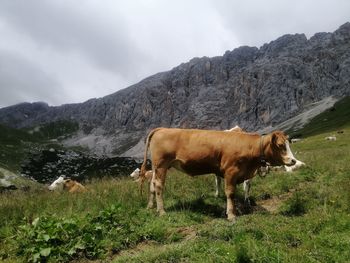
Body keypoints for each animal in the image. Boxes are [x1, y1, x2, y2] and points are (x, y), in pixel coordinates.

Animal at [141, 128, 296, 223]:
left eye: (288, 144)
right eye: (281, 145)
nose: (293, 160)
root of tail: (162, 128)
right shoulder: (230, 172)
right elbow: (230, 193)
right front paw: (231, 215)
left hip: (156, 167)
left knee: (152, 185)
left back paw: (150, 206)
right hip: (161, 165)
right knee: (159, 186)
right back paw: (161, 211)